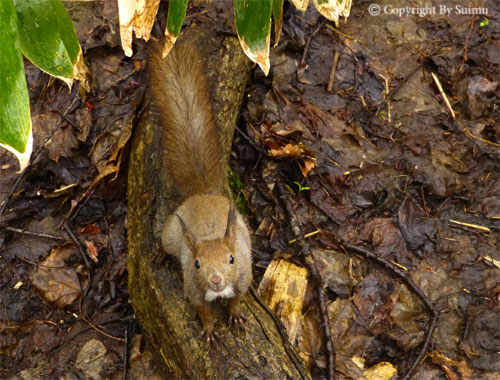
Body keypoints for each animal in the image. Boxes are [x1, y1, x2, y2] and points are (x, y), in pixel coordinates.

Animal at [146, 32, 252, 342]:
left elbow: (237, 298)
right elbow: (201, 310)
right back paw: (160, 252)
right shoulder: (193, 289)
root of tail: (202, 193)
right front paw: (208, 329)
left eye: (231, 259)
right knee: (165, 241)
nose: (215, 280)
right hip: (171, 233)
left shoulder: (244, 277)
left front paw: (235, 314)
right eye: (196, 264)